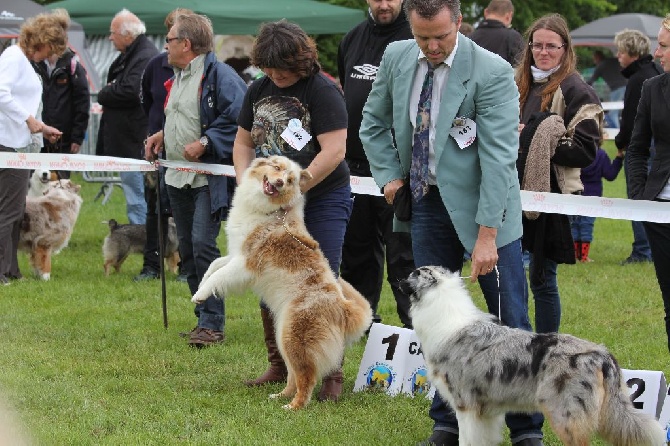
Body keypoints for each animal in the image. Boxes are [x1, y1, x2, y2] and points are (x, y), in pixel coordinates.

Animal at [400, 266, 668, 444]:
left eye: (413, 274)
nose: (398, 278)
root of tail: (601, 353)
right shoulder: (487, 412)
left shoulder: (466, 406)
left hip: (565, 415)